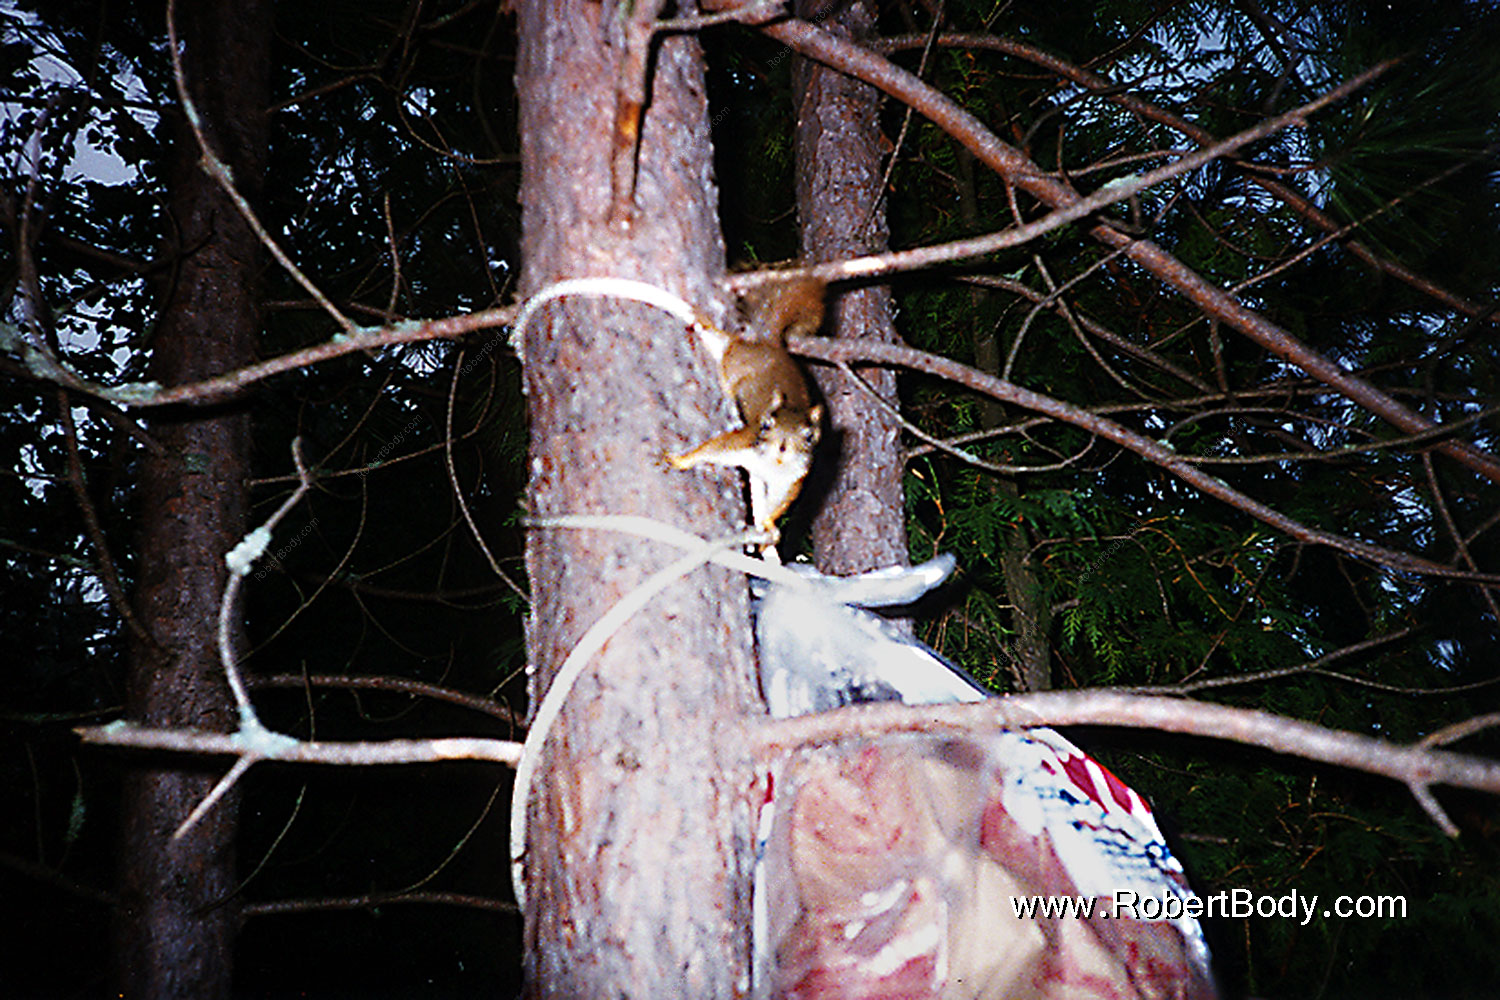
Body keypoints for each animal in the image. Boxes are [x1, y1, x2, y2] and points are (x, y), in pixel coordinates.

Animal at [667, 277, 827, 552]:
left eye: (809, 436)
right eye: (766, 424)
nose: (782, 450)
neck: (771, 466)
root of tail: (772, 346)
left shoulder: (792, 481)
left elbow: (780, 504)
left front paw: (769, 527)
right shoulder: (742, 443)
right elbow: (712, 448)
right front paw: (681, 460)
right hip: (733, 361)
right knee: (724, 344)